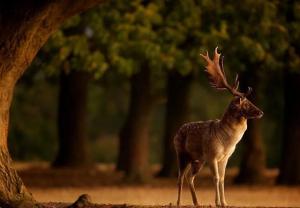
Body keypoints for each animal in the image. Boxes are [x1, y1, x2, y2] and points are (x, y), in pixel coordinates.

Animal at [173, 46, 262, 206]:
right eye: (246, 103)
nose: (261, 112)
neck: (227, 142)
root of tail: (176, 132)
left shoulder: (224, 158)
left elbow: (222, 179)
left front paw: (225, 202)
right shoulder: (212, 155)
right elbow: (215, 178)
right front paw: (217, 202)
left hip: (198, 160)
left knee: (190, 177)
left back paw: (196, 202)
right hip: (181, 153)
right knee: (180, 178)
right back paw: (178, 202)